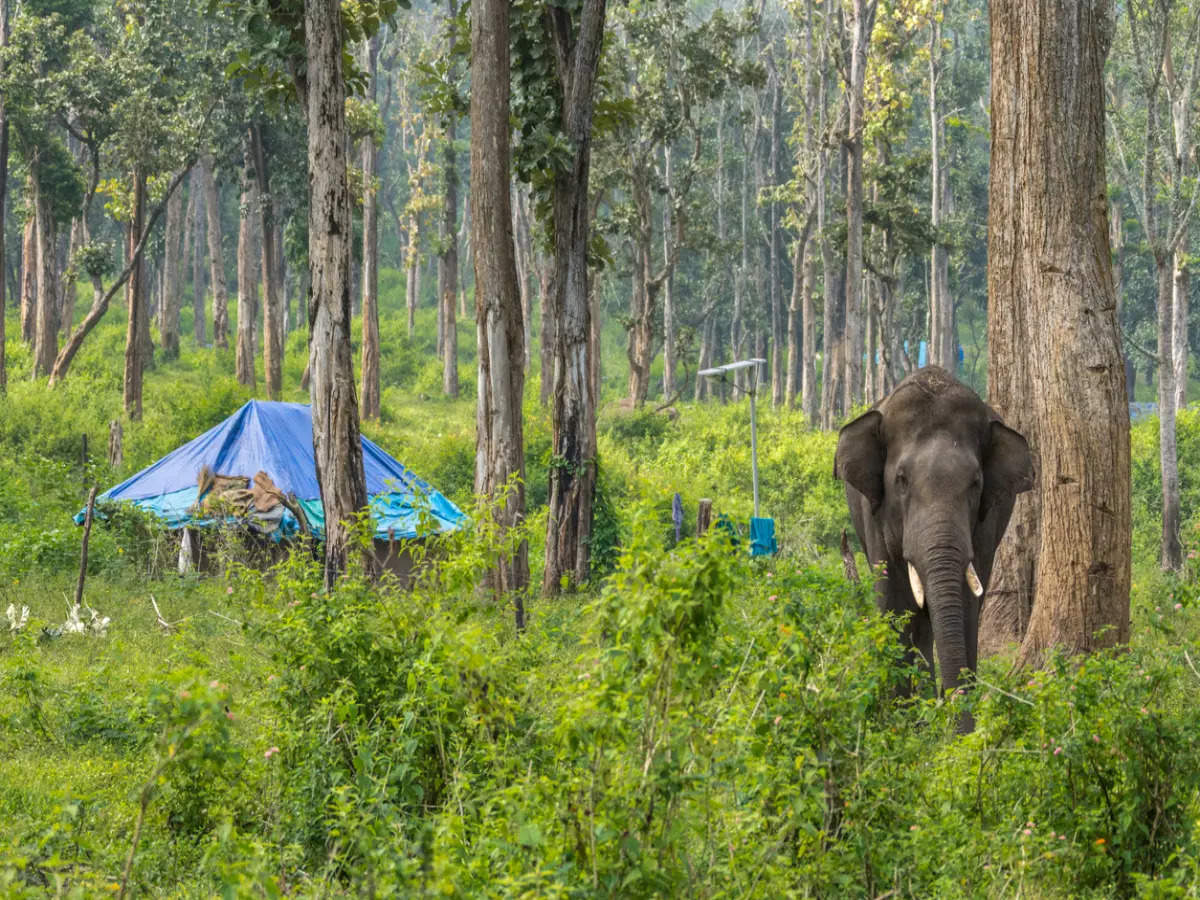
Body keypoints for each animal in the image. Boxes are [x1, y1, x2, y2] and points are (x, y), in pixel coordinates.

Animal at [830, 367, 1036, 734]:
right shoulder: (873, 512)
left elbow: (968, 603)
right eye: (900, 480)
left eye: (976, 483)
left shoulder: (986, 522)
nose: (960, 728)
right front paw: (897, 721)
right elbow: (891, 600)